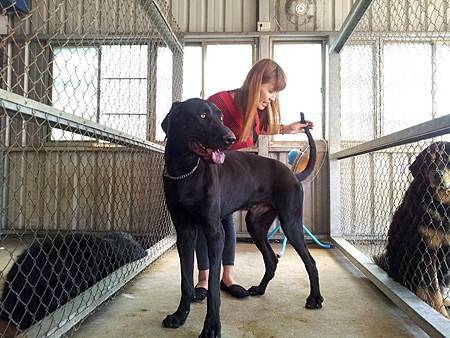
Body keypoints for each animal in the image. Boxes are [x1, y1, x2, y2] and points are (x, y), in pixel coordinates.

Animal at [160, 98, 322, 338]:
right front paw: (180, 316)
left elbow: (214, 289)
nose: (230, 139)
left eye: (220, 116)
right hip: (256, 225)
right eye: (202, 116)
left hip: (291, 223)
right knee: (272, 260)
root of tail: (293, 173)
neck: (186, 170)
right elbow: (186, 281)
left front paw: (211, 327)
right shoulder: (185, 232)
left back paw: (315, 299)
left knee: (310, 261)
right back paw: (260, 289)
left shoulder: (214, 232)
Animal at [376, 141, 450, 318]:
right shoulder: (426, 251)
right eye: (428, 161)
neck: (442, 205)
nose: (437, 175)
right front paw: (442, 315)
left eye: (446, 159)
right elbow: (433, 290)